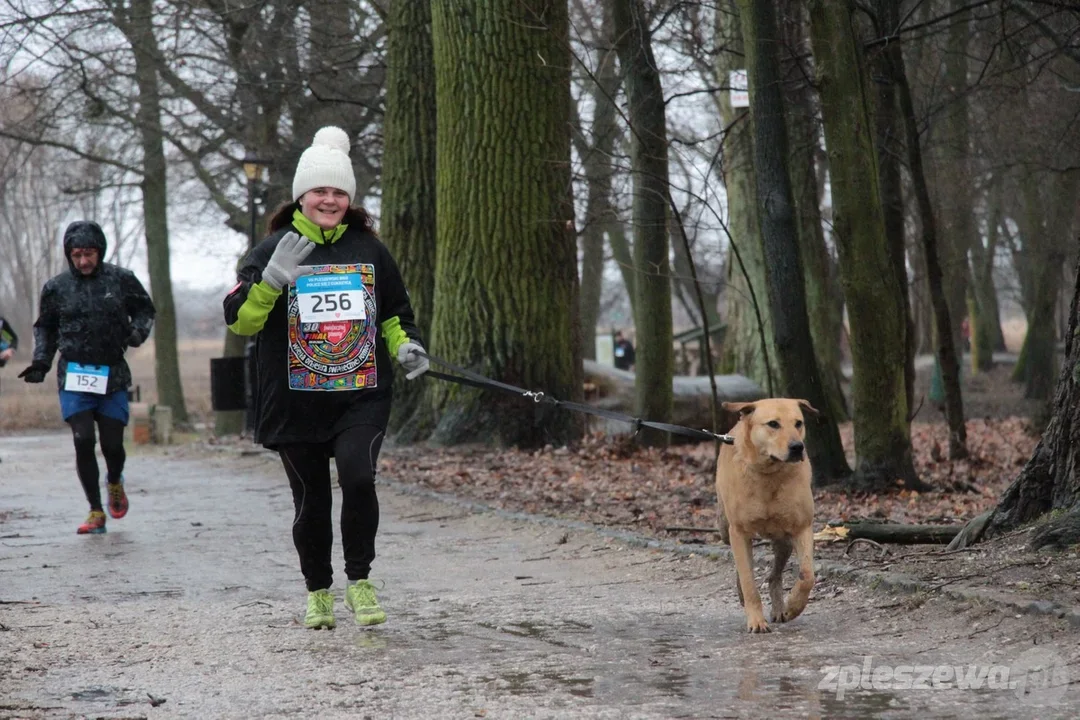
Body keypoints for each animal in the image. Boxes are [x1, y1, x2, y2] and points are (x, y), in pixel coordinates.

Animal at [717, 397, 816, 634]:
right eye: (773, 424)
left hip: (784, 541)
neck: (769, 474)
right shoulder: (739, 532)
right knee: (741, 566)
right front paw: (756, 621)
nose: (797, 447)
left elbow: (807, 576)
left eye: (798, 423)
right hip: (725, 528)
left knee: (774, 575)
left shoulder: (802, 527)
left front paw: (794, 606)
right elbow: (748, 581)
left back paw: (780, 608)